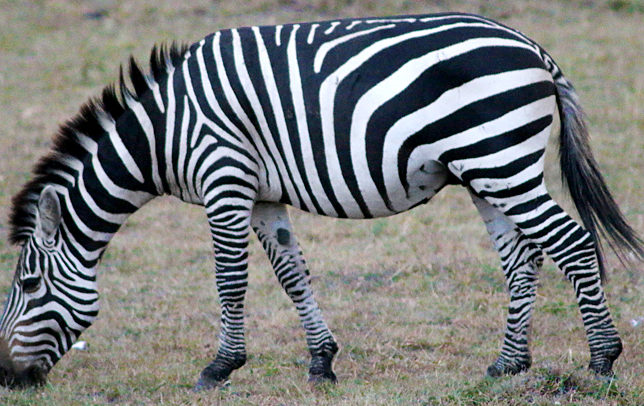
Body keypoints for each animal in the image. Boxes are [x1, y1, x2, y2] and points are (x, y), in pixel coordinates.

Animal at [1, 12, 642, 389]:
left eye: (28, 285)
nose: (7, 378)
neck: (166, 133)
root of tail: (533, 47)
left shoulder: (223, 177)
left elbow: (229, 280)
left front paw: (219, 367)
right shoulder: (262, 195)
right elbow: (291, 275)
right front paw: (322, 361)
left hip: (499, 158)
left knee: (571, 242)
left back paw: (601, 362)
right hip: (485, 169)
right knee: (521, 258)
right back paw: (508, 365)